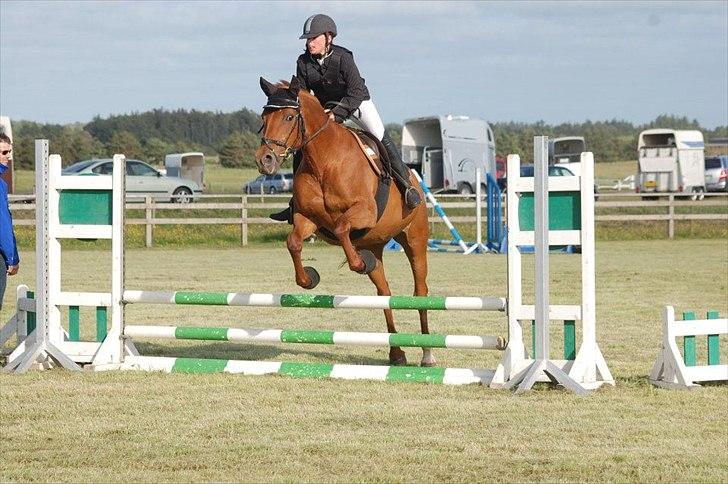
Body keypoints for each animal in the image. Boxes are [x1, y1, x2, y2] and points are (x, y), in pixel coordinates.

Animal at [256, 75, 436, 364]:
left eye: (289, 117)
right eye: (264, 116)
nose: (265, 160)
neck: (325, 161)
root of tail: (416, 181)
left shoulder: (364, 211)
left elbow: (341, 227)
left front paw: (357, 264)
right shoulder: (307, 218)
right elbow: (293, 242)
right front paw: (309, 278)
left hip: (414, 239)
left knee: (420, 292)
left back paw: (428, 354)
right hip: (374, 242)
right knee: (384, 294)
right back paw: (396, 352)